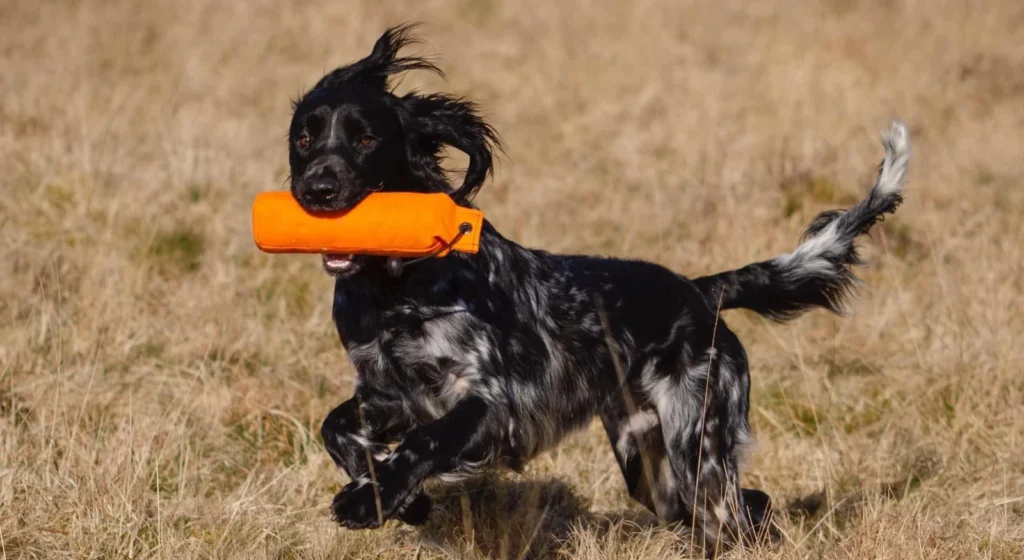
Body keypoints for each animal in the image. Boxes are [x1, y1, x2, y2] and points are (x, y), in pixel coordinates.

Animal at [290, 25, 913, 552]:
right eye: (304, 137)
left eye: (366, 138)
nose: (316, 189)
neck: (392, 289)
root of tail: (698, 291)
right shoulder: (390, 392)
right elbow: (336, 428)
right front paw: (401, 500)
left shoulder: (492, 404)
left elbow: (424, 442)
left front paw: (371, 501)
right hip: (653, 469)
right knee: (743, 506)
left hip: (698, 447)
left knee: (743, 511)